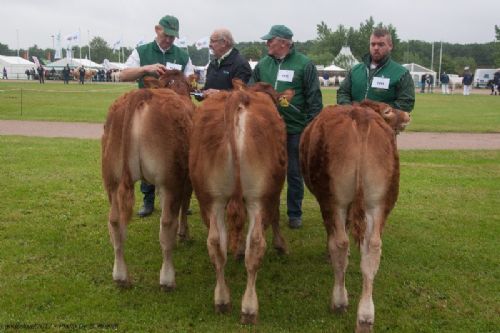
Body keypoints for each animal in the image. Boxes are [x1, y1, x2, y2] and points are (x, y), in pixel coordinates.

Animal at [300, 100, 410, 330]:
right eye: (388, 110)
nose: (407, 115)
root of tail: (360, 117)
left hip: (333, 199)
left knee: (340, 243)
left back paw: (339, 301)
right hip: (380, 201)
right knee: (372, 248)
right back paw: (365, 316)